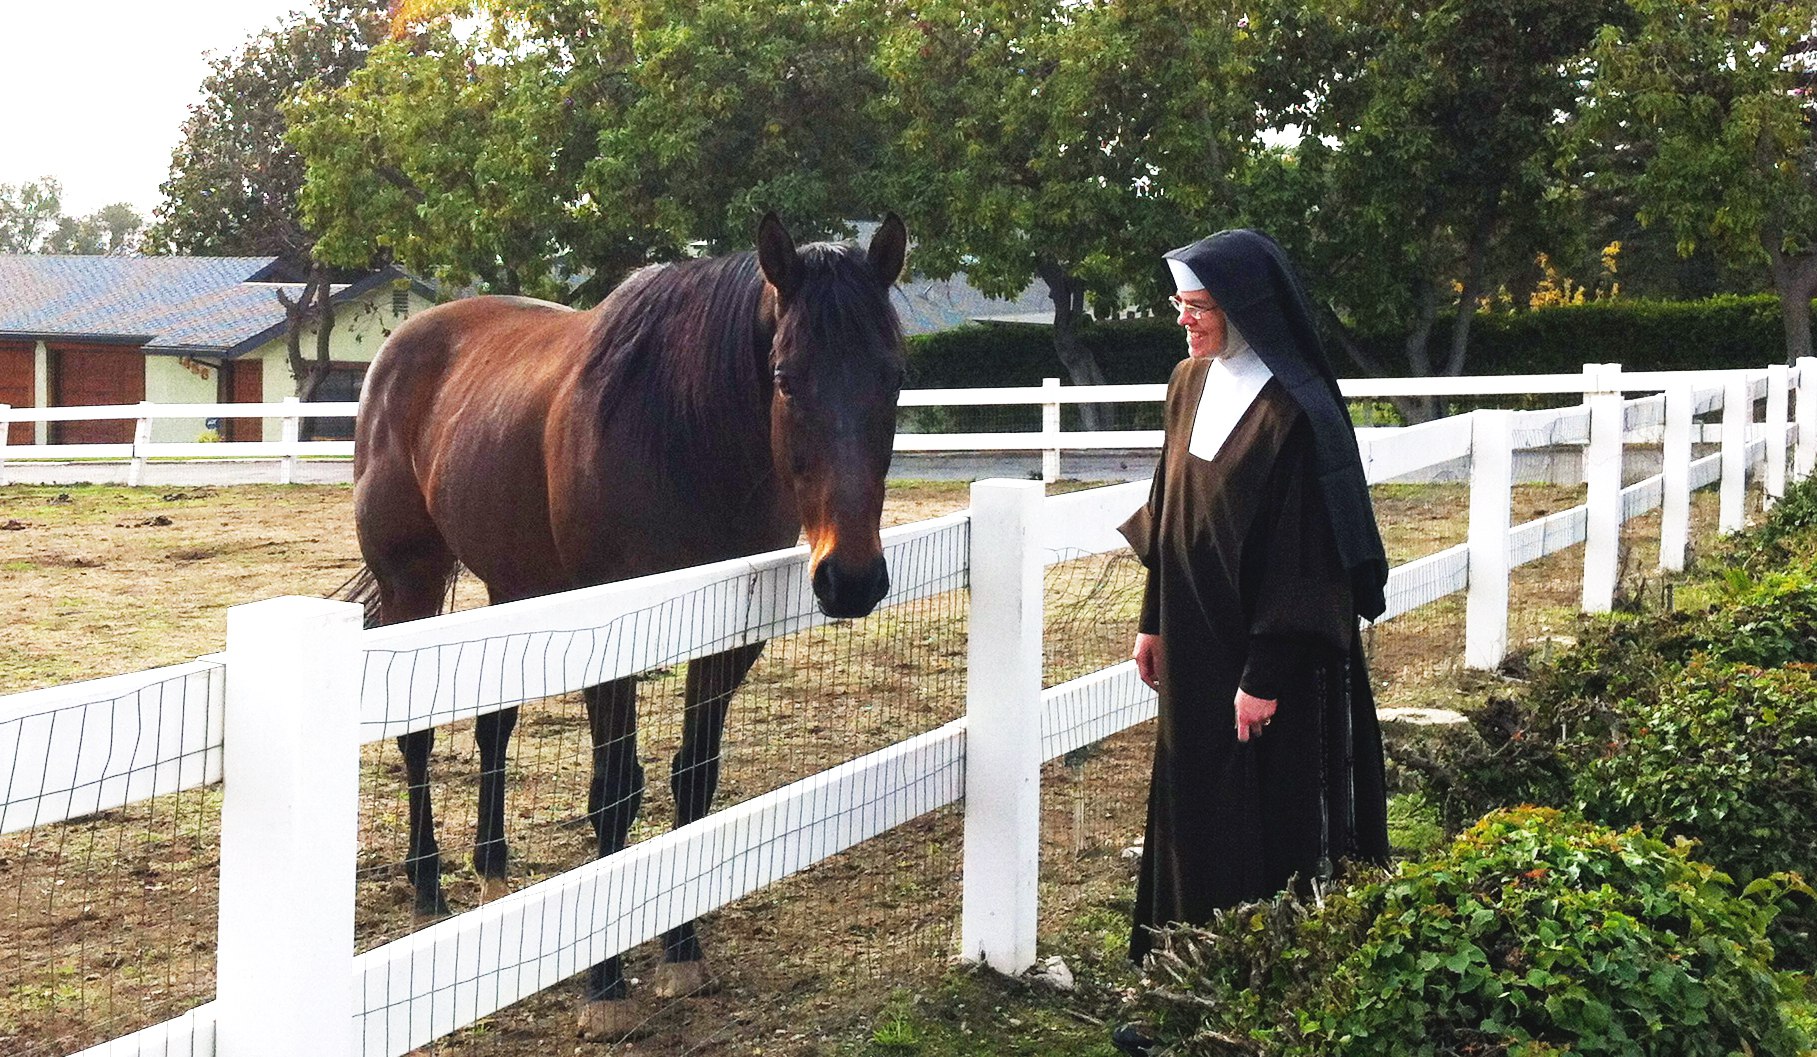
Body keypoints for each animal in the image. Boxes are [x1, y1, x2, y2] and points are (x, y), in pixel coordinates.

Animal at [349, 213, 908, 1038]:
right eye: (783, 376)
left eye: (893, 375)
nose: (853, 577)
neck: (684, 433)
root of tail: (396, 354)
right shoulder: (612, 636)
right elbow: (615, 788)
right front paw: (604, 984)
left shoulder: (725, 639)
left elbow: (693, 778)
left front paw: (682, 948)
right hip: (409, 579)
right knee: (416, 735)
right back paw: (428, 887)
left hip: (513, 584)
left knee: (493, 724)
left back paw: (492, 869)